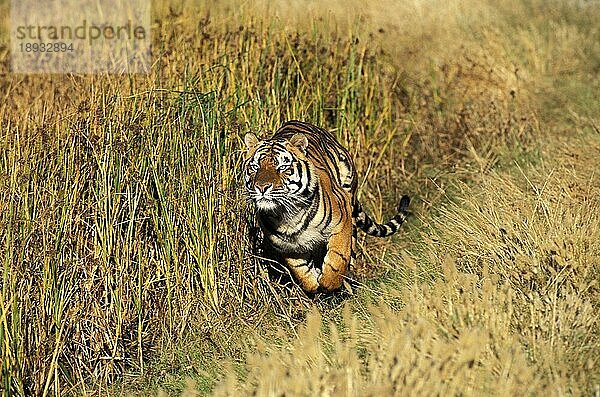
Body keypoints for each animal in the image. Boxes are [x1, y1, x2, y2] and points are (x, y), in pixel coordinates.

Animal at [241, 119, 410, 292]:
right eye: (255, 167)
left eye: (282, 167)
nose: (261, 187)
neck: (288, 215)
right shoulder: (288, 247)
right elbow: (301, 272)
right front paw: (314, 284)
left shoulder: (341, 222)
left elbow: (337, 259)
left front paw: (328, 283)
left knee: (351, 251)